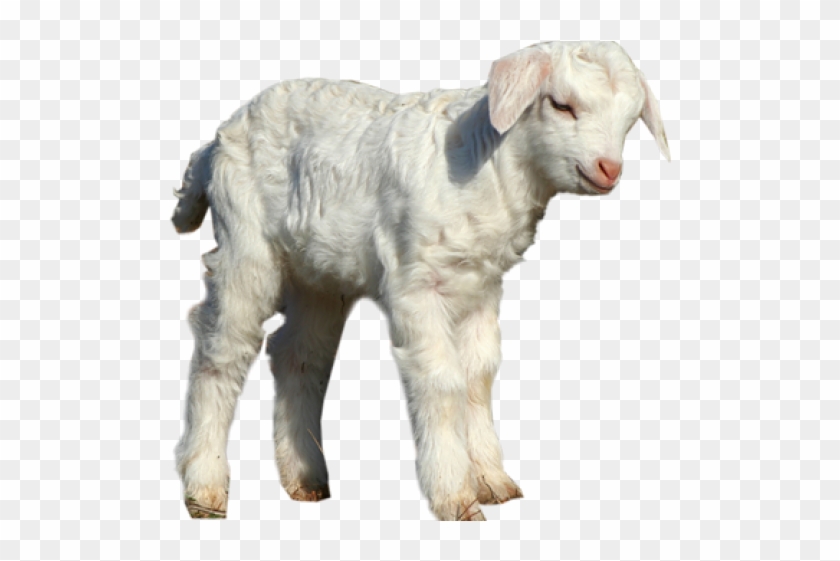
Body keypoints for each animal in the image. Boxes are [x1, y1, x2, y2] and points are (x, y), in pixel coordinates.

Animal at [172, 40, 670, 521]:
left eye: (630, 119)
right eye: (561, 105)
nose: (608, 169)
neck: (485, 165)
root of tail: (215, 144)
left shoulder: (481, 286)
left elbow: (477, 375)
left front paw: (493, 482)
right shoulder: (416, 282)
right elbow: (441, 380)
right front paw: (456, 497)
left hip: (320, 273)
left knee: (298, 355)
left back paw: (306, 478)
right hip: (245, 243)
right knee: (223, 350)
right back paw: (205, 490)